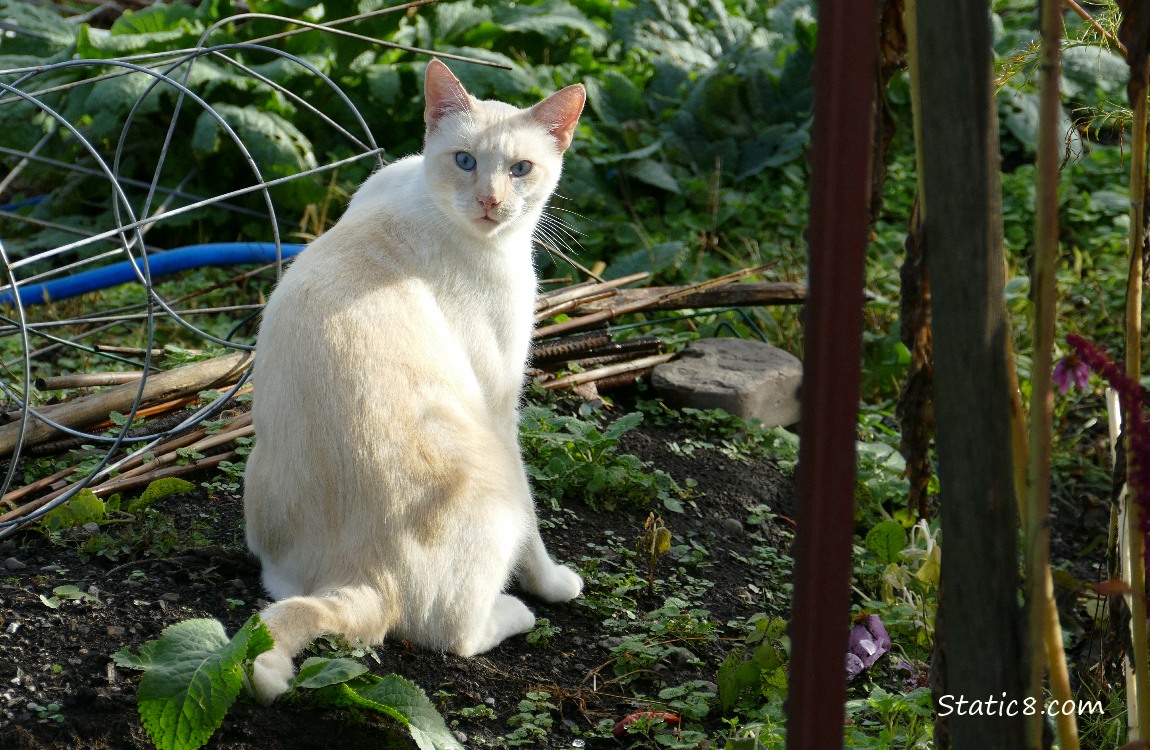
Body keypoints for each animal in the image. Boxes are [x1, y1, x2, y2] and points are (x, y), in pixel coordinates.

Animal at [242, 58, 584, 703]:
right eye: (466, 160)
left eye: (520, 168)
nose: (489, 200)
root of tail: (364, 578)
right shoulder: (502, 406)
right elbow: (535, 530)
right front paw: (554, 584)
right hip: (493, 479)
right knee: (457, 634)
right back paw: (516, 612)